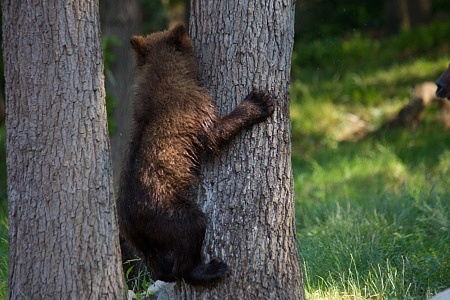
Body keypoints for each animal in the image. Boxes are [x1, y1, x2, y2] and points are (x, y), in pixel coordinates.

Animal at [117, 24, 274, 284]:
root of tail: (128, 220)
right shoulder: (192, 107)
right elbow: (213, 134)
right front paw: (258, 102)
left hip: (138, 237)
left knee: (157, 261)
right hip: (163, 211)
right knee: (192, 228)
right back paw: (208, 269)